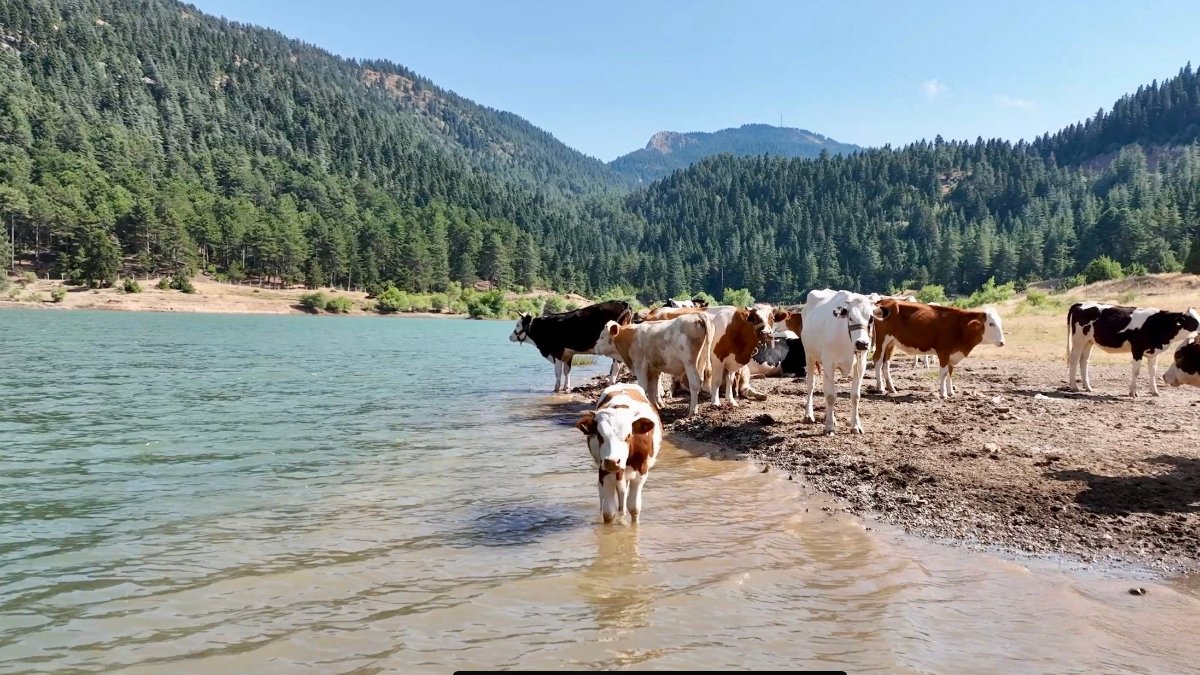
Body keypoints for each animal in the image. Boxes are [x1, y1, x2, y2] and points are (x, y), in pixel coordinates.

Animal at [573, 381, 662, 523]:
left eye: (629, 435)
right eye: (599, 435)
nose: (612, 461)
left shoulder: (641, 472)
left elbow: (634, 507)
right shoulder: (604, 471)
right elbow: (608, 512)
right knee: (606, 494)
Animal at [801, 285, 878, 432]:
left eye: (871, 318)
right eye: (850, 318)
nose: (862, 343)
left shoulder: (861, 364)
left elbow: (855, 396)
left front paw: (856, 425)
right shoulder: (829, 363)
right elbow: (831, 396)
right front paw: (829, 427)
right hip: (809, 355)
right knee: (811, 385)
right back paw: (809, 415)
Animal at [873, 296, 1003, 396]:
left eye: (1000, 322)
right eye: (991, 324)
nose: (1002, 342)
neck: (959, 326)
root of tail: (884, 301)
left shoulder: (952, 354)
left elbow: (950, 371)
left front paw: (950, 392)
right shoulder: (943, 352)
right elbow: (944, 372)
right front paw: (943, 393)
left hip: (891, 342)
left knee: (886, 363)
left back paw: (891, 388)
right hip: (881, 340)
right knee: (878, 360)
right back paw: (880, 388)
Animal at [1070, 300, 1200, 393]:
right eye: (1194, 322)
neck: (1158, 324)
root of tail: (1081, 303)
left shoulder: (1153, 352)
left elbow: (1153, 371)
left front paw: (1154, 391)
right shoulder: (1137, 349)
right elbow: (1136, 371)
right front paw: (1132, 392)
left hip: (1088, 342)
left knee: (1084, 361)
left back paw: (1088, 387)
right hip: (1078, 341)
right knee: (1074, 360)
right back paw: (1074, 386)